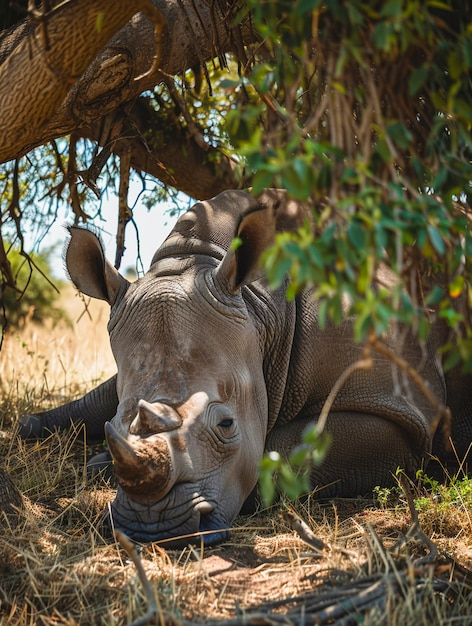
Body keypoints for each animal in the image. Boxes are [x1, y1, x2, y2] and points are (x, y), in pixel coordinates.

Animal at [18, 188, 472, 544]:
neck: (262, 307)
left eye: (226, 425)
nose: (153, 527)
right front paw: (50, 437)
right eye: (117, 422)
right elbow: (97, 398)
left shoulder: (402, 412)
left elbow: (286, 445)